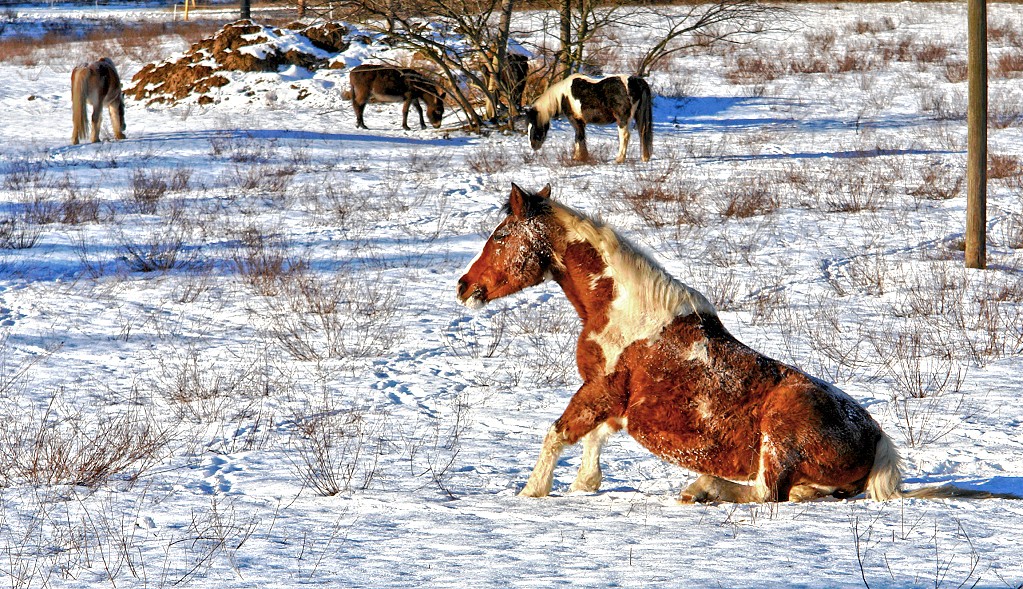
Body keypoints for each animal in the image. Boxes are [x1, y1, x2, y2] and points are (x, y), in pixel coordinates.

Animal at [458, 183, 1014, 501]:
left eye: (502, 236)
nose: (465, 287)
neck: (625, 311)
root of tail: (878, 441)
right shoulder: (610, 398)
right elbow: (593, 439)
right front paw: (583, 487)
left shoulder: (600, 389)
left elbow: (558, 434)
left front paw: (532, 492)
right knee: (798, 494)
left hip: (778, 434)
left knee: (767, 494)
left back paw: (701, 488)